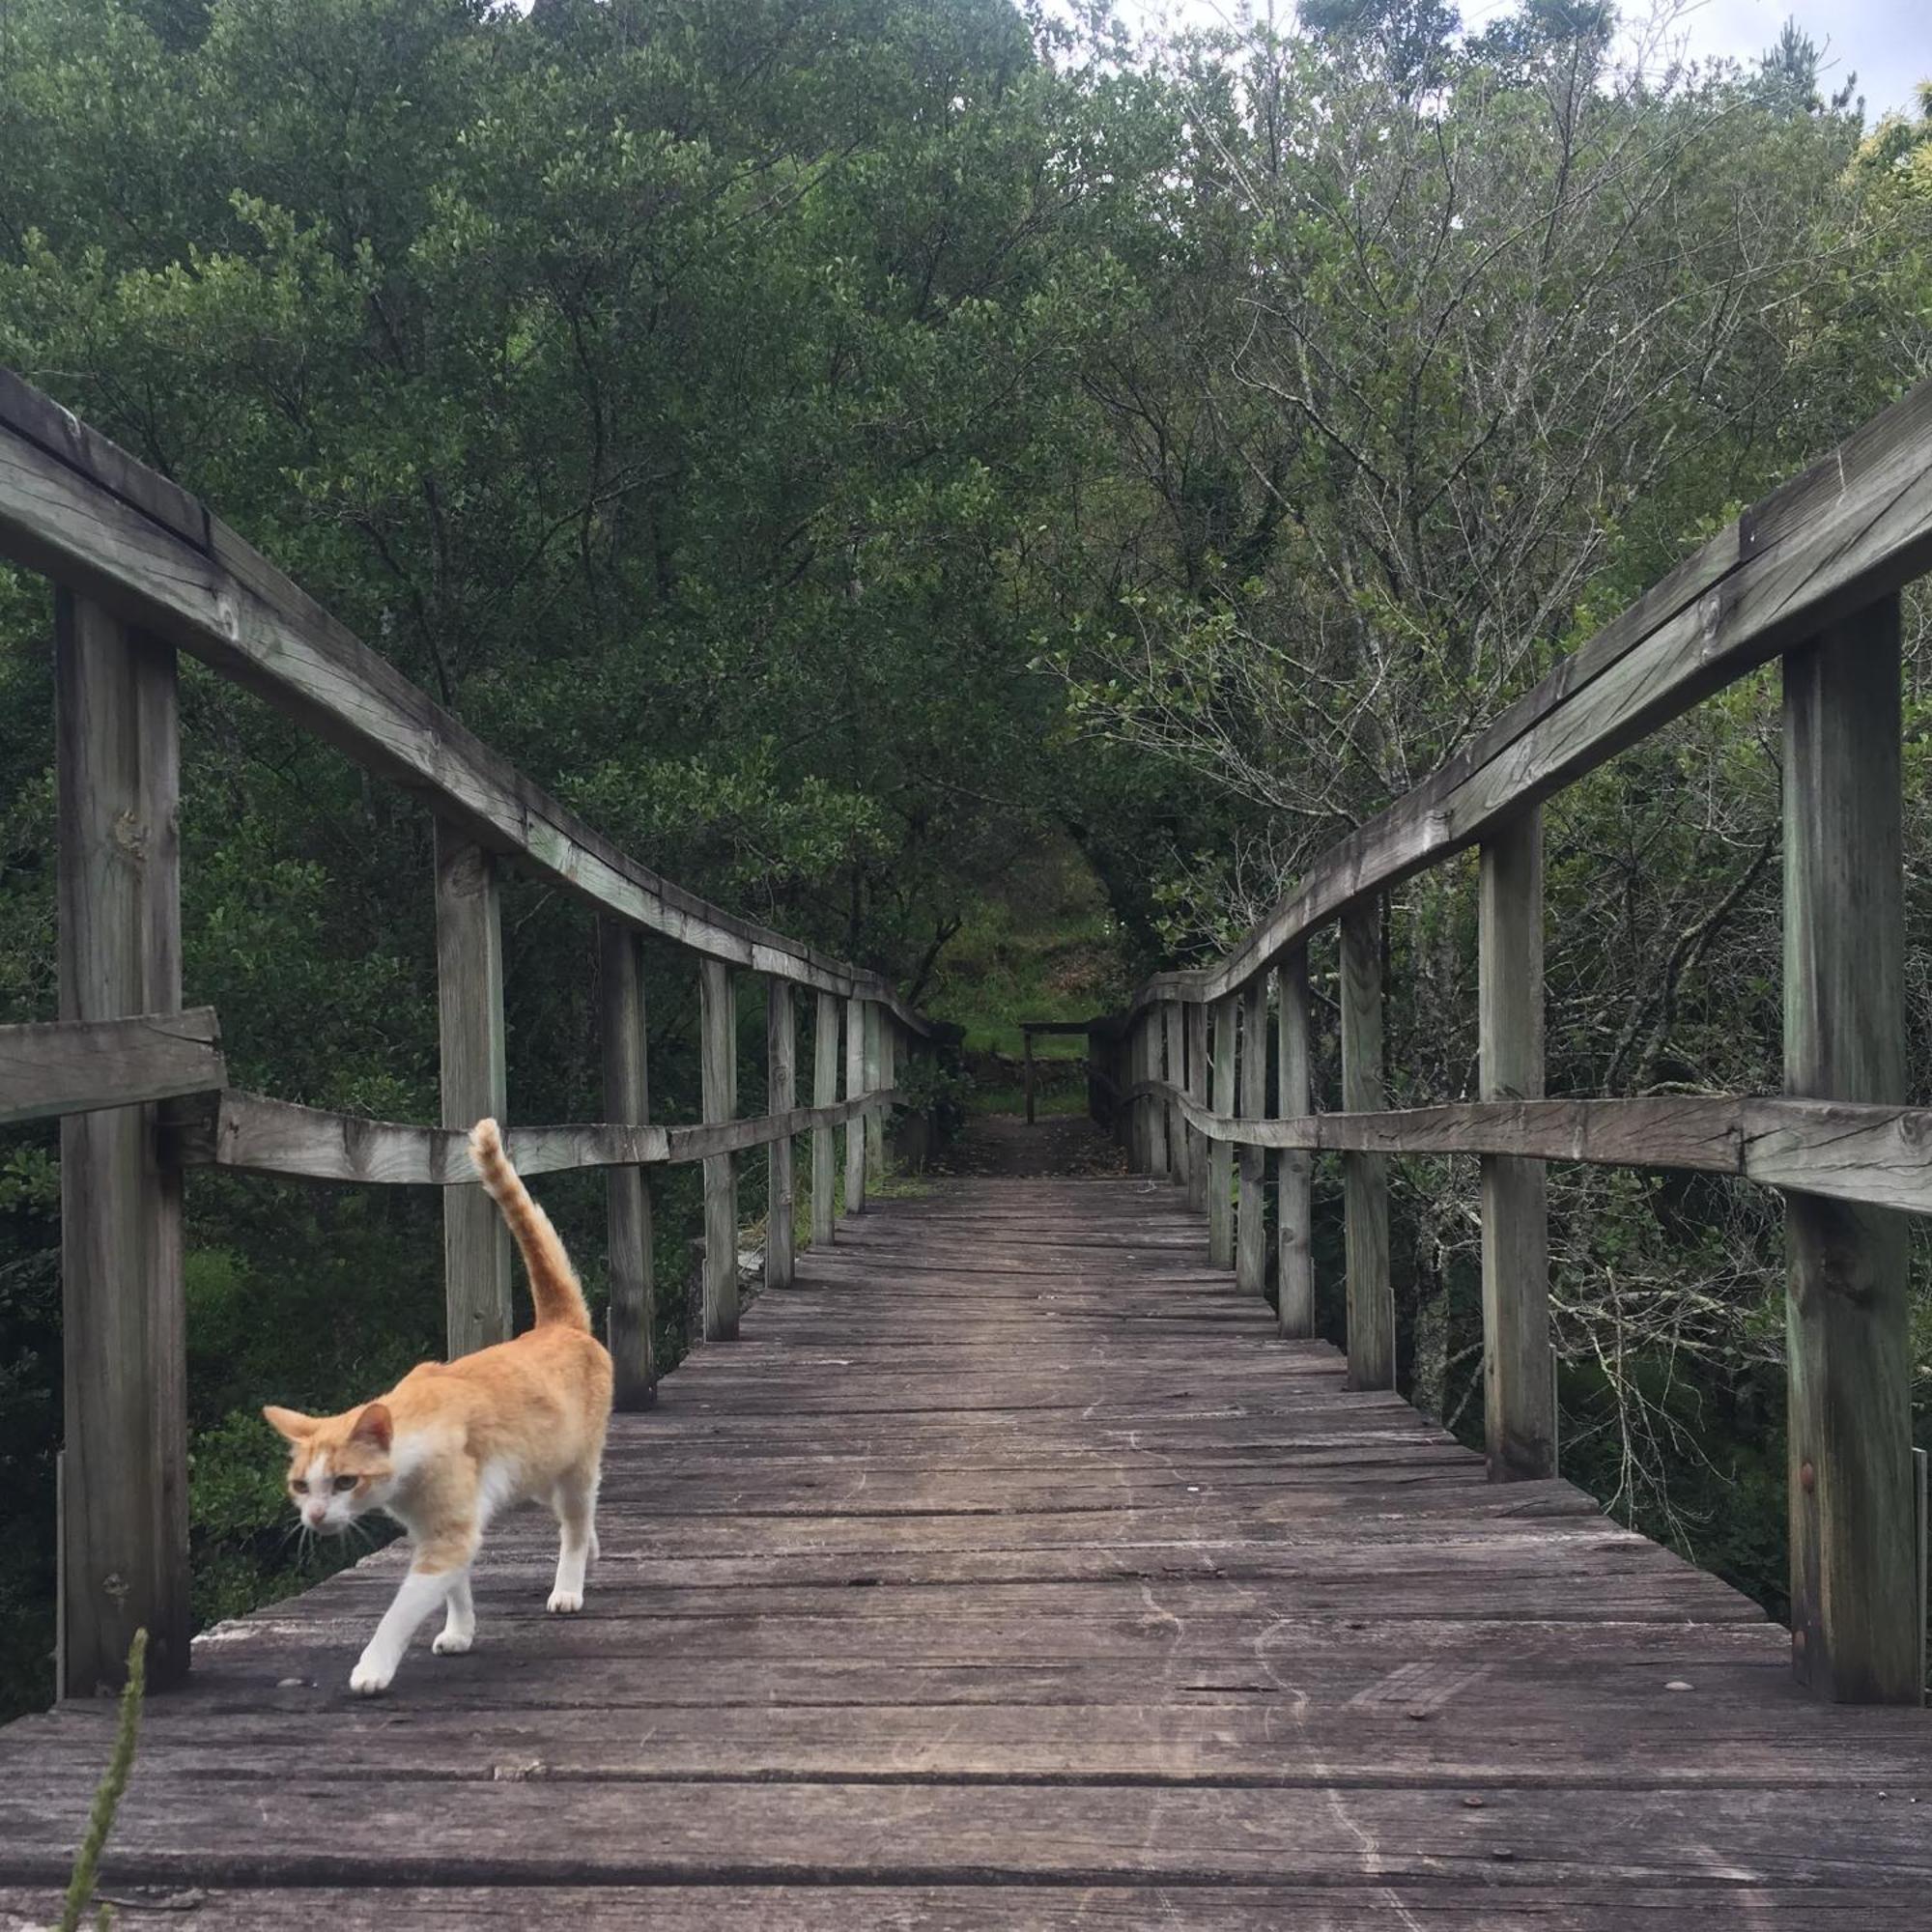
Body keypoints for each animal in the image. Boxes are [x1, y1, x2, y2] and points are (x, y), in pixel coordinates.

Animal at [265, 1121, 611, 1692]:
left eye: (345, 1481)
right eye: (300, 1486)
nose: (314, 1517)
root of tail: (557, 1326)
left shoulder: (446, 1533)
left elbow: (402, 1609)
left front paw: (372, 1668)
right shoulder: (441, 1527)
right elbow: (457, 1588)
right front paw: (459, 1632)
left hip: (574, 1468)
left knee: (576, 1522)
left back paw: (569, 1586)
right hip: (538, 1475)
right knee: (577, 1519)